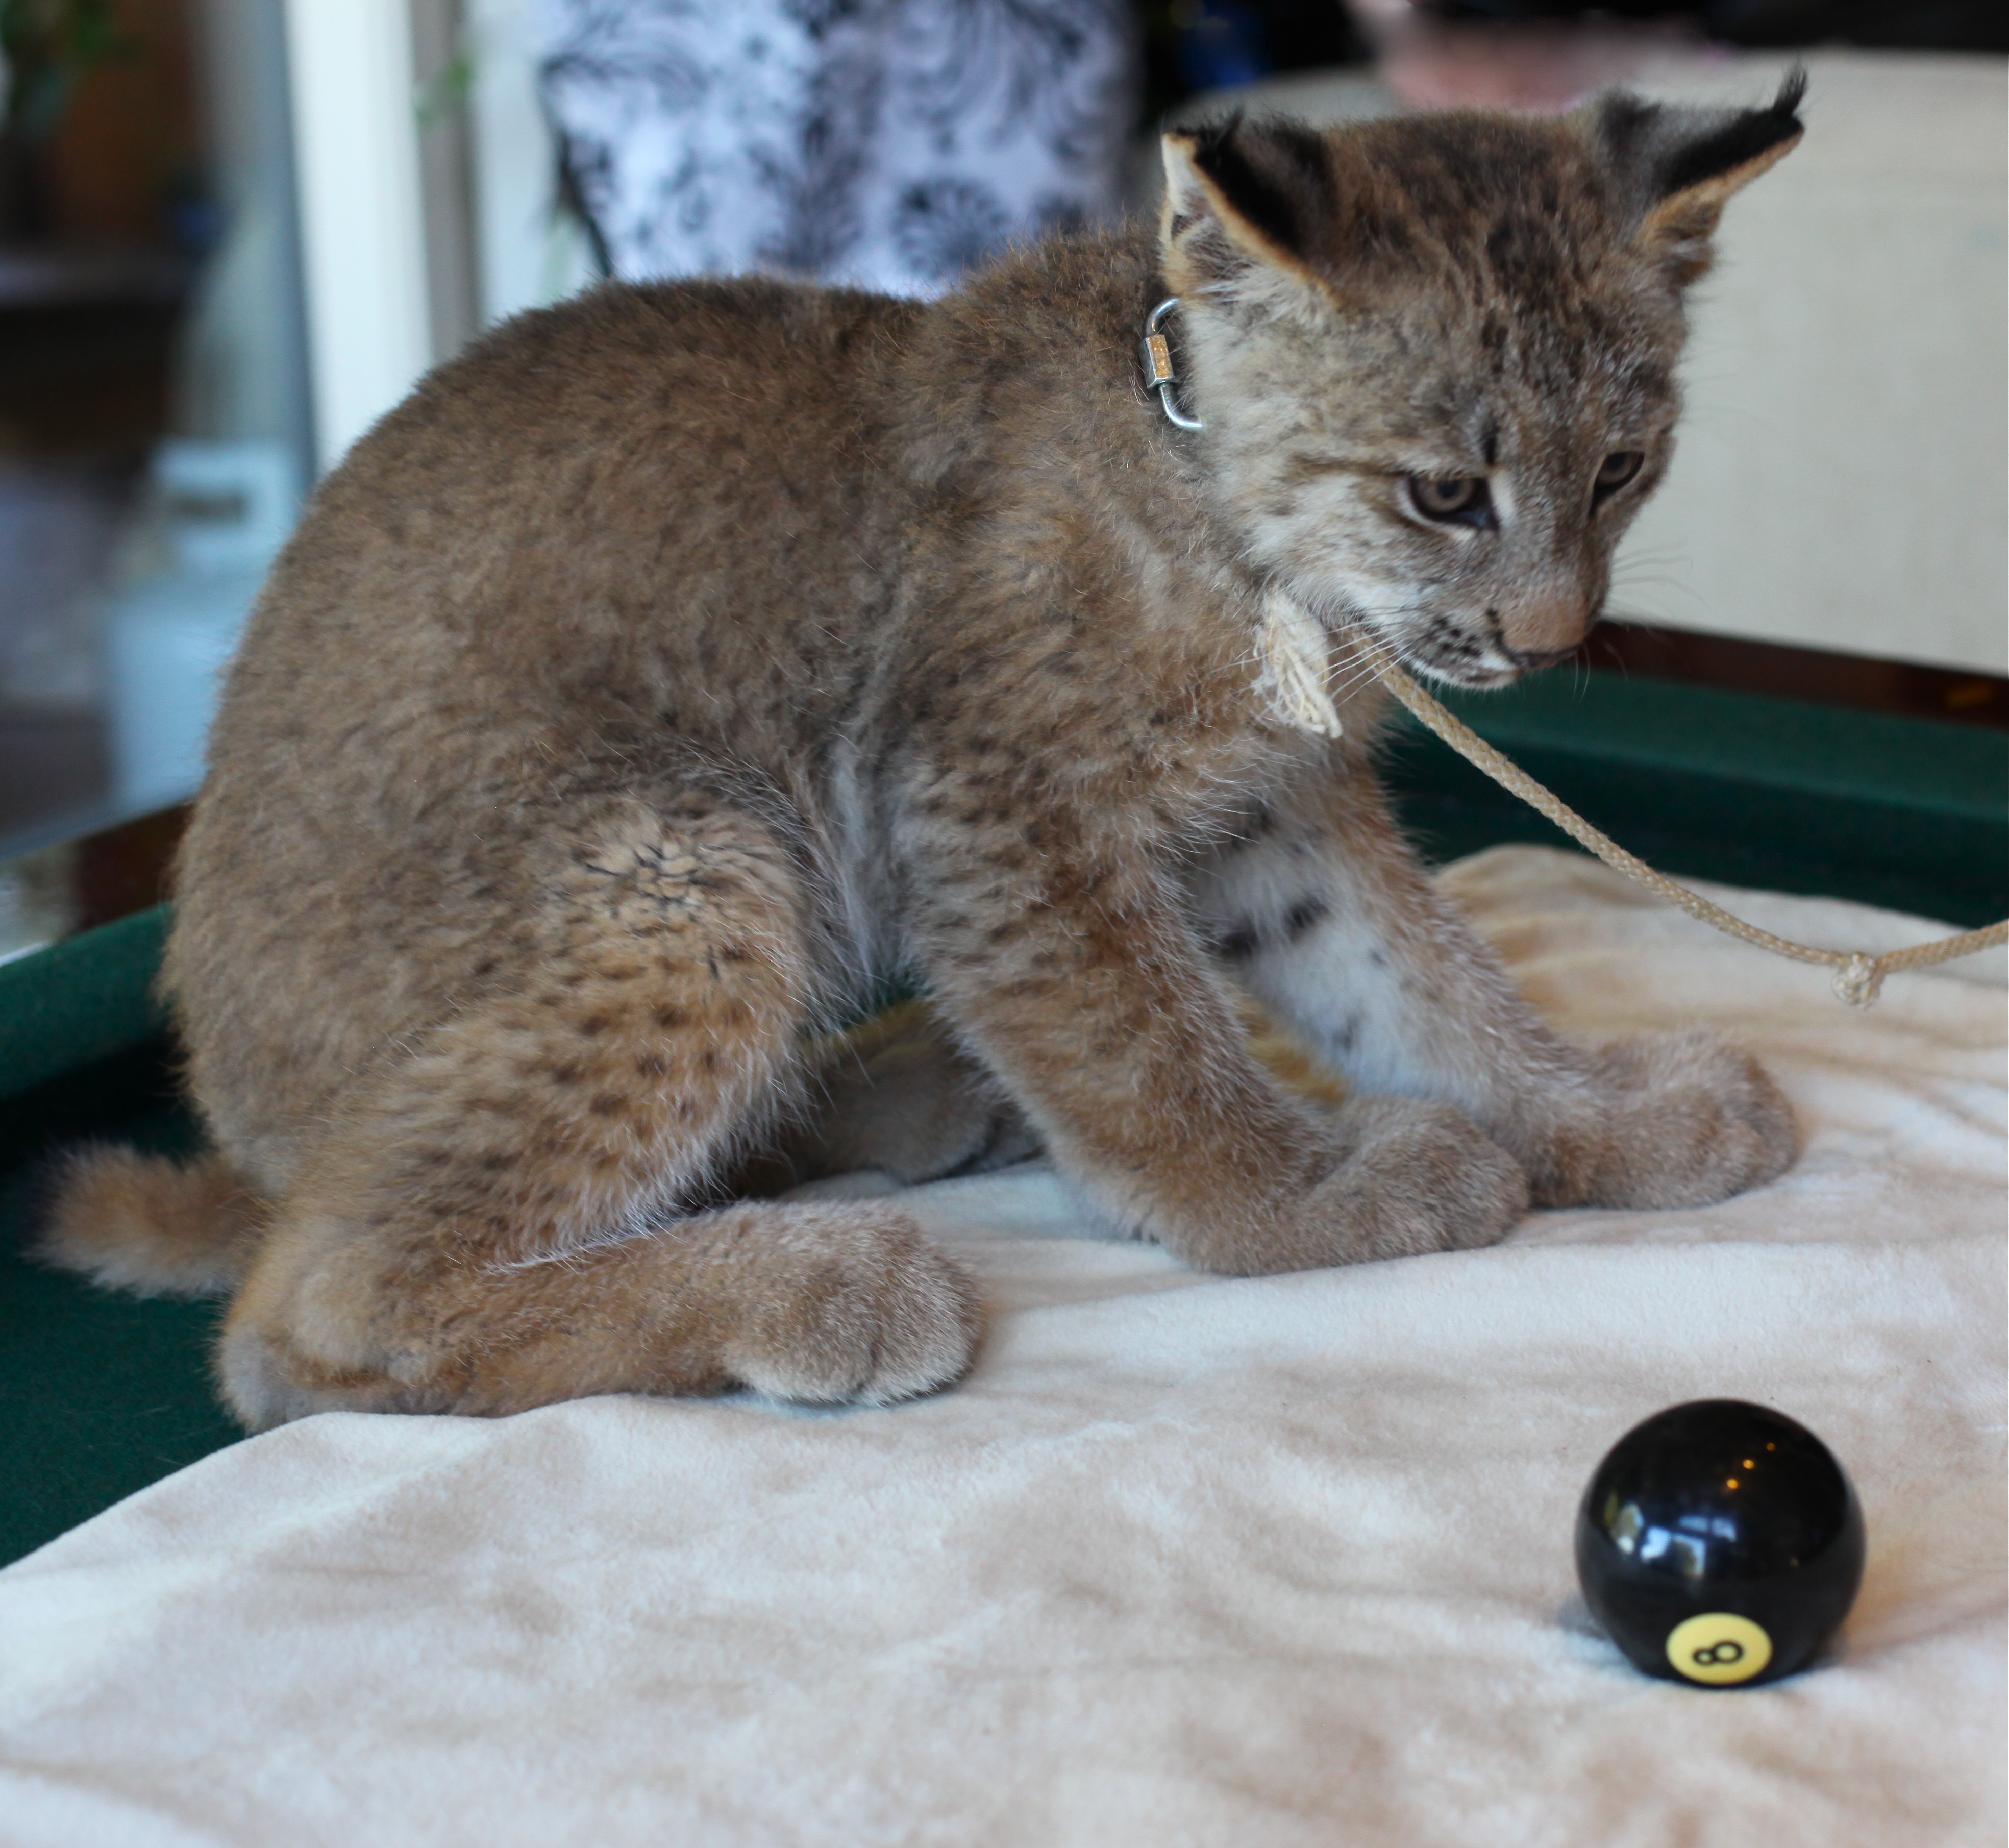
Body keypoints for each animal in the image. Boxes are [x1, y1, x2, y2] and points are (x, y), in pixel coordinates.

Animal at [47, 79, 1808, 1422]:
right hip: (691, 856)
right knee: (297, 1324)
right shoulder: (992, 809)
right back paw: (809, 1282)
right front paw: (1302, 1199)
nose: (1551, 642)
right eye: (1444, 494)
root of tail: (243, 1118)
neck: (1243, 539)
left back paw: (890, 1112)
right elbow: (1146, 1051)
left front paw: (1592, 1111)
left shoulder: (1273, 808)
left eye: (1622, 469)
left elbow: (1411, 974)